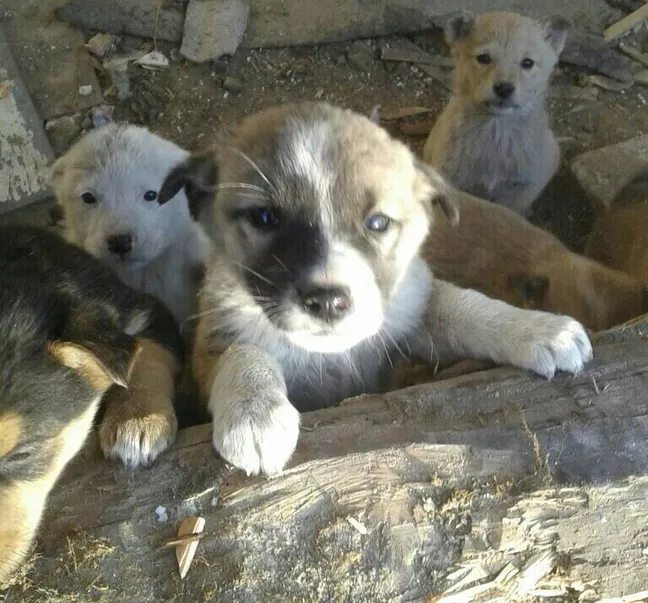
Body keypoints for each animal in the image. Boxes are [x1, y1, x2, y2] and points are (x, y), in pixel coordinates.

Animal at [157, 102, 592, 477]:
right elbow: (241, 349)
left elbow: (467, 307)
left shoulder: (409, 307)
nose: (328, 302)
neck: (331, 356)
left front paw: (542, 330)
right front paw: (255, 412)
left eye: (378, 223)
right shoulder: (212, 335)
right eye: (264, 217)